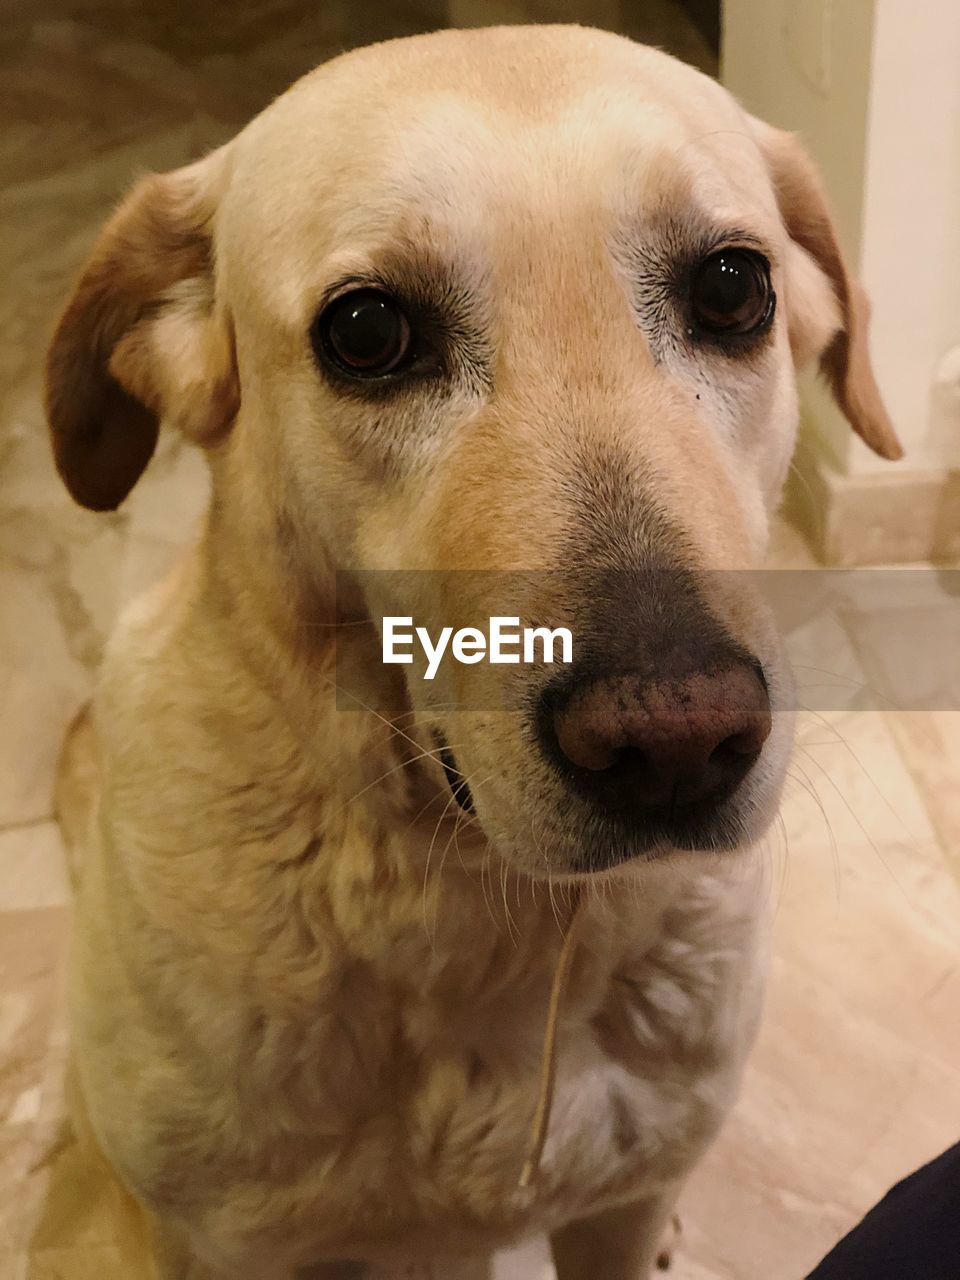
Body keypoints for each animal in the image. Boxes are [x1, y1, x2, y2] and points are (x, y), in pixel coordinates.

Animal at [45, 22, 901, 1280]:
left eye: (733, 288)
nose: (677, 741)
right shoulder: (220, 1243)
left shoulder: (616, 1207)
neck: (486, 916)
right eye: (367, 332)